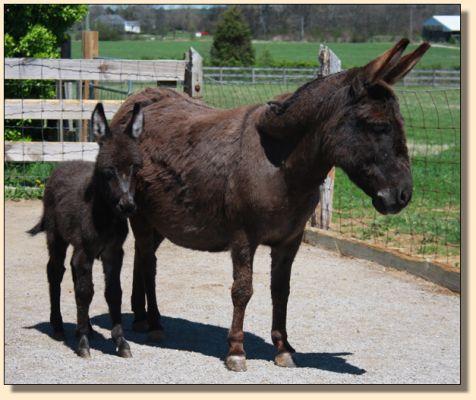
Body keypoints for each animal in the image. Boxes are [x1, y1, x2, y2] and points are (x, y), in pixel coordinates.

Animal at [27, 103, 142, 360]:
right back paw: (58, 326)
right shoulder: (85, 251)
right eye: (108, 170)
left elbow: (113, 293)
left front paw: (121, 342)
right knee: (55, 272)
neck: (104, 216)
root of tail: (64, 164)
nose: (128, 206)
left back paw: (86, 326)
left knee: (71, 273)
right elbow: (85, 292)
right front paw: (82, 343)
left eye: (136, 168)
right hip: (56, 237)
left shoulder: (113, 252)